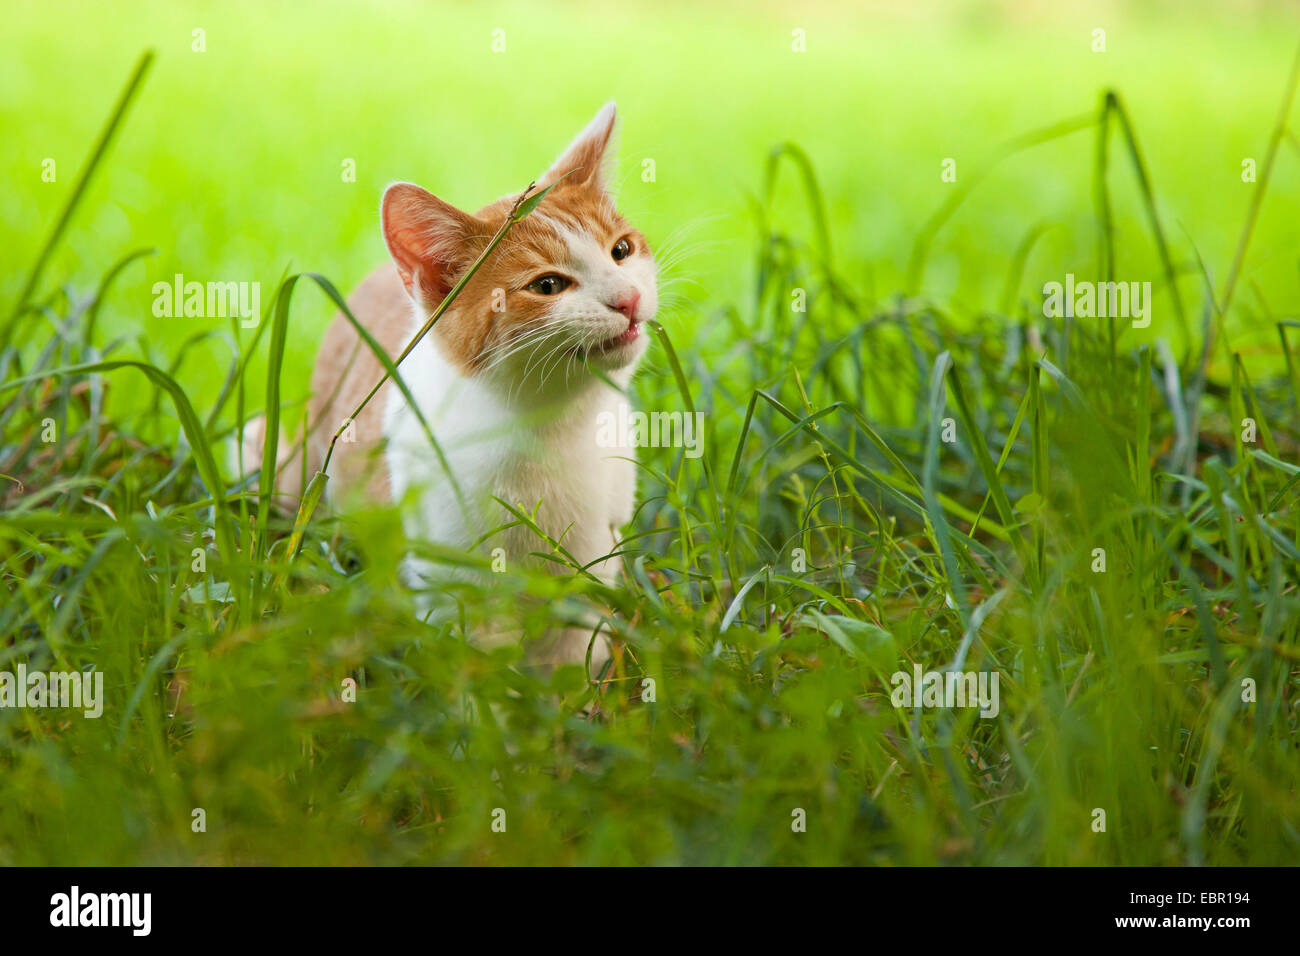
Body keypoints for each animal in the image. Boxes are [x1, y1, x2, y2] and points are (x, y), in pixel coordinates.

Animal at [240, 102, 655, 671]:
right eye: (547, 285)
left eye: (621, 250)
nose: (628, 298)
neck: (548, 427)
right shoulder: (446, 570)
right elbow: (472, 658)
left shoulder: (595, 555)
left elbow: (574, 649)